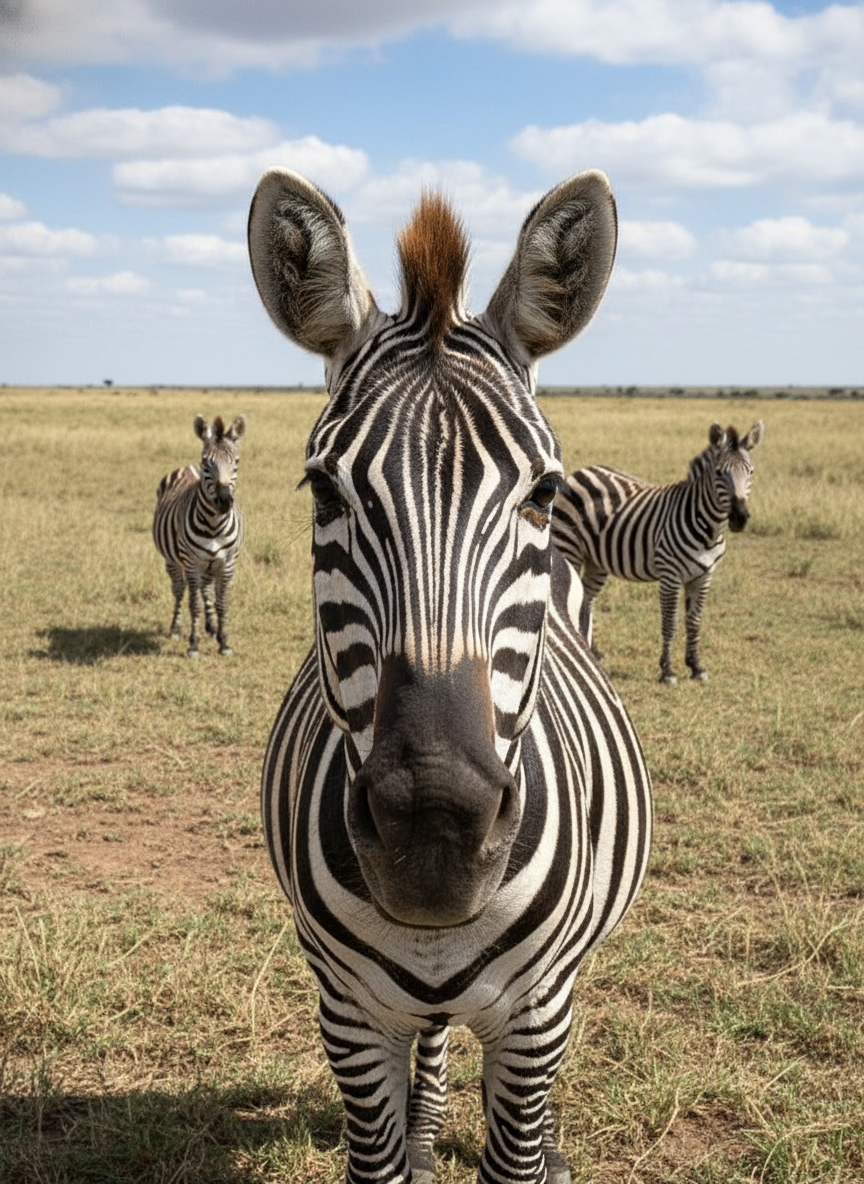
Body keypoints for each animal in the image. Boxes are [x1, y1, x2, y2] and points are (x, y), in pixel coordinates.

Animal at [152, 413, 246, 657]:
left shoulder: (227, 564)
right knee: (179, 590)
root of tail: (187, 467)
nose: (224, 501)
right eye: (206, 463)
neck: (214, 526)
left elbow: (221, 602)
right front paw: (193, 645)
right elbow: (193, 604)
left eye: (236, 462)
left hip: (210, 564)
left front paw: (223, 642)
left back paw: (211, 627)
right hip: (173, 560)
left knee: (206, 589)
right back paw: (175, 629)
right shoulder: (192, 563)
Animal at [249, 167, 652, 1184]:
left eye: (542, 491)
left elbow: (517, 1154)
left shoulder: (536, 1020)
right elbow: (379, 1156)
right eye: (323, 490)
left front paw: (535, 1153)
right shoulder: (348, 1015)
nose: (433, 826)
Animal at [552, 419, 764, 685]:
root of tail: (581, 472)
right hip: (568, 547)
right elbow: (670, 623)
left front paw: (696, 666)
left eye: (750, 472)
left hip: (596, 560)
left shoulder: (704, 576)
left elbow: (694, 622)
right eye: (718, 473)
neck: (708, 528)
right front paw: (668, 671)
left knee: (586, 599)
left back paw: (593, 651)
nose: (739, 518)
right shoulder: (670, 575)